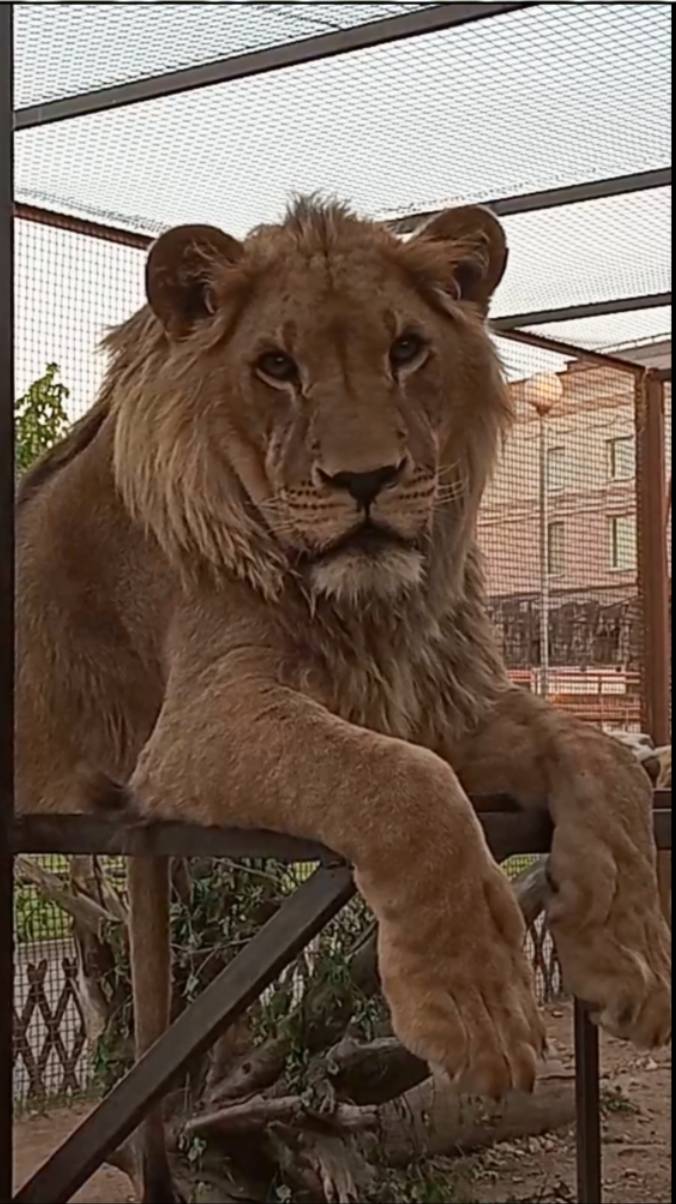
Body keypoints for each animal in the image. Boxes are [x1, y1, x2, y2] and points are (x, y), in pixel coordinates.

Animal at [15, 197, 670, 1203]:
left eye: (406, 350)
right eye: (277, 367)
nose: (366, 480)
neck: (364, 610)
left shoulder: (431, 702)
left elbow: (601, 759)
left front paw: (629, 957)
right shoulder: (198, 726)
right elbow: (401, 785)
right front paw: (475, 1008)